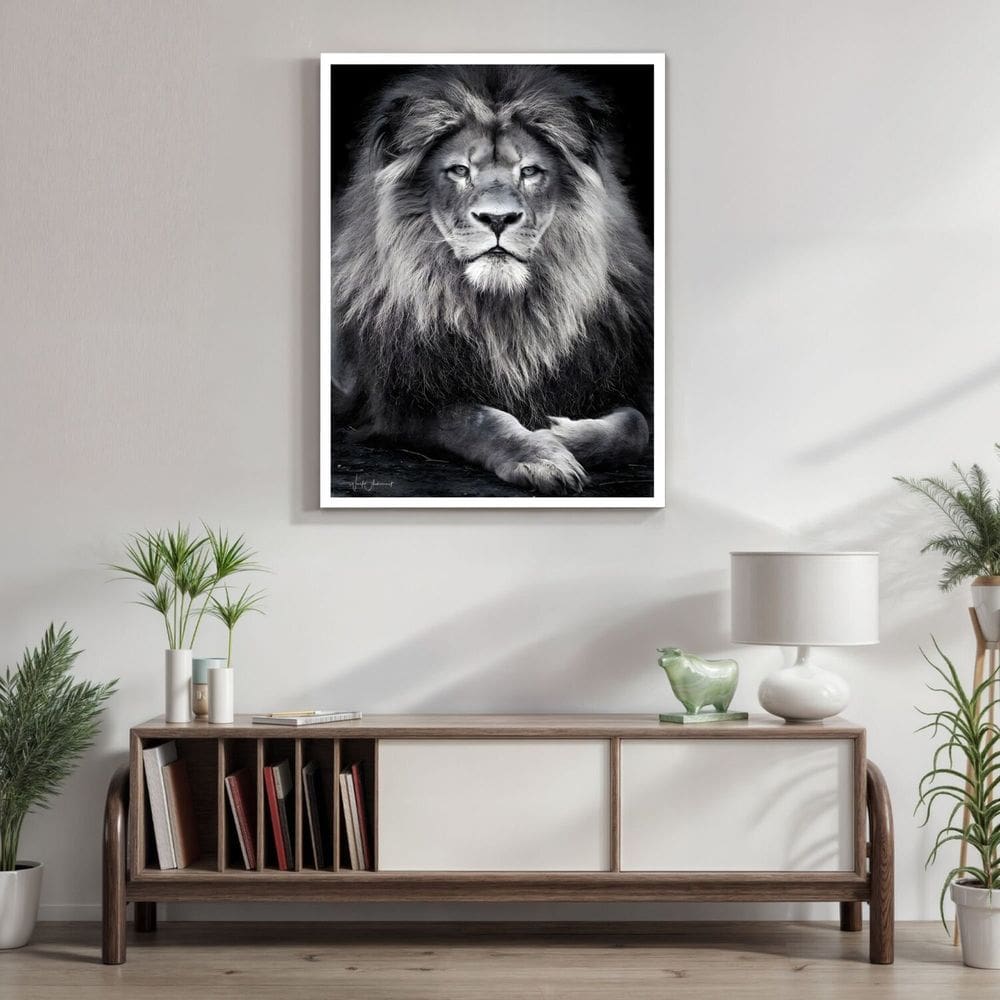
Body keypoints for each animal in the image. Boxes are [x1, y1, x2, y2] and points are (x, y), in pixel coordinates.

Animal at [331, 65, 653, 496]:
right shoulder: (401, 407)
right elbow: (482, 420)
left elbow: (636, 425)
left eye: (529, 171)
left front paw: (557, 432)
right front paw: (540, 454)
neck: (504, 310)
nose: (498, 218)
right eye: (460, 171)